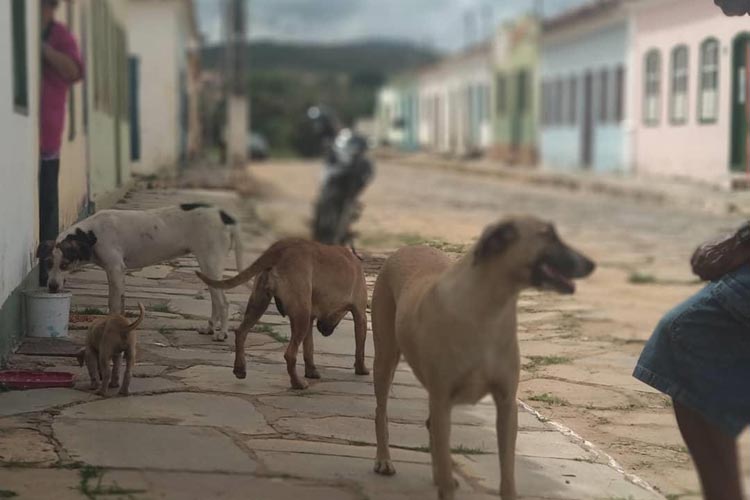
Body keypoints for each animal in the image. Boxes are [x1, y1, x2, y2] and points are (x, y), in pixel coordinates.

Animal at [37, 202, 244, 340]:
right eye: (48, 263)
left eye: (65, 264)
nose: (52, 287)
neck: (92, 234)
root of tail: (224, 215)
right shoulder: (116, 274)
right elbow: (119, 306)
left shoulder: (115, 270)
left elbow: (113, 305)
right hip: (208, 268)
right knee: (216, 301)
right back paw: (210, 328)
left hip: (210, 264)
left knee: (224, 302)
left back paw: (222, 333)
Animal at [194, 238, 370, 390]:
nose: (324, 331)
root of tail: (280, 248)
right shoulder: (360, 315)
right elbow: (360, 348)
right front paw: (361, 369)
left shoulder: (310, 318)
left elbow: (309, 348)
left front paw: (311, 371)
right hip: (299, 317)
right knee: (290, 355)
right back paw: (297, 383)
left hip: (260, 305)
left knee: (241, 333)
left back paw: (240, 369)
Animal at [374, 216, 596, 500]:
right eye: (548, 235)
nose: (591, 264)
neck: (488, 310)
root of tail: (407, 247)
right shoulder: (443, 398)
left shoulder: (506, 404)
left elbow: (508, 473)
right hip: (385, 358)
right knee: (381, 411)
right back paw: (384, 460)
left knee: (431, 429)